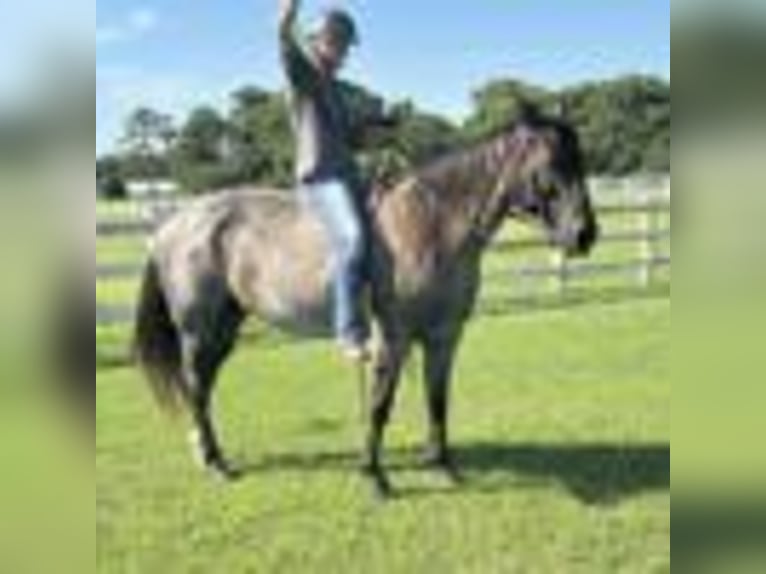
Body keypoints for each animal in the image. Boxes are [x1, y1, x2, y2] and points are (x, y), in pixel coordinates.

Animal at [133, 108, 599, 498]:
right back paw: (217, 463)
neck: (432, 226)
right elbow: (380, 405)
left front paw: (444, 466)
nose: (584, 235)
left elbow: (437, 401)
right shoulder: (393, 339)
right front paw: (376, 477)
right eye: (551, 166)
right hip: (198, 331)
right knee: (196, 388)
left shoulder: (444, 337)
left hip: (223, 328)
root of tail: (172, 224)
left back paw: (208, 454)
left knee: (203, 389)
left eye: (581, 161)